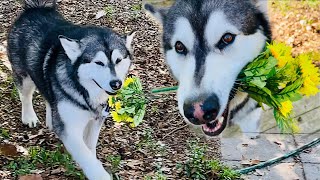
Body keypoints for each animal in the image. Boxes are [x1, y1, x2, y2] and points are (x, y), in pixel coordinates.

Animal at [7, 0, 135, 179]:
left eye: (118, 60)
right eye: (99, 62)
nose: (116, 83)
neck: (85, 91)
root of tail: (36, 8)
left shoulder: (97, 120)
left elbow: (90, 148)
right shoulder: (70, 129)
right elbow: (85, 154)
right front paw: (98, 173)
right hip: (24, 75)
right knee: (25, 95)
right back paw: (29, 116)